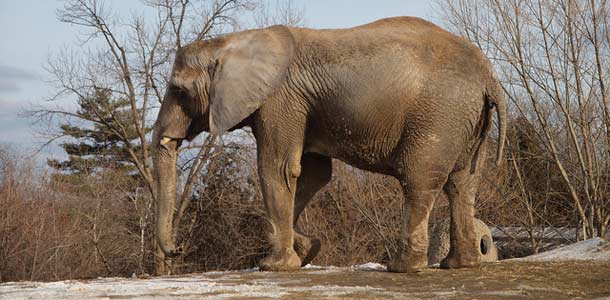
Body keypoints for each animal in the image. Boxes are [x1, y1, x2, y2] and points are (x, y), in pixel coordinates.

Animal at [152, 17, 504, 274]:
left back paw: (402, 268)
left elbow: (278, 169)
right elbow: (313, 174)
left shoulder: (280, 100)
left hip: (438, 116)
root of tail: (490, 77)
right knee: (462, 184)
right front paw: (307, 250)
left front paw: (274, 266)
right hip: (466, 120)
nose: (178, 249)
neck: (233, 41)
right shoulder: (301, 106)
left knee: (418, 179)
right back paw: (460, 265)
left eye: (179, 90)